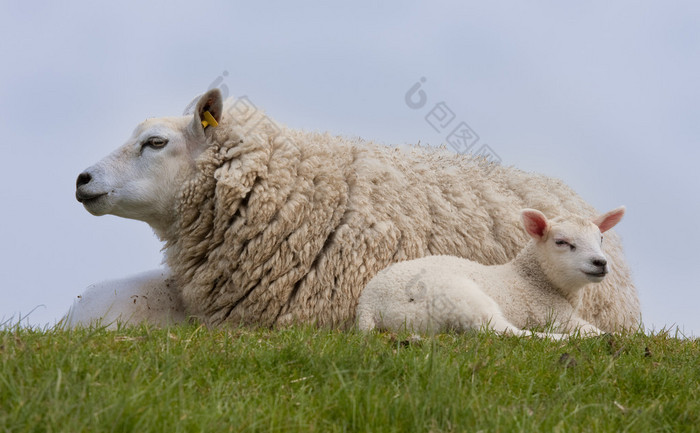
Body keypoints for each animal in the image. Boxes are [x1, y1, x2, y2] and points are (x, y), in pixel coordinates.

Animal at [356, 204, 624, 336]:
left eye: (600, 238)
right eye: (561, 242)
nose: (600, 263)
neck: (532, 279)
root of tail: (368, 306)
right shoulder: (553, 315)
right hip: (461, 298)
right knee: (500, 331)